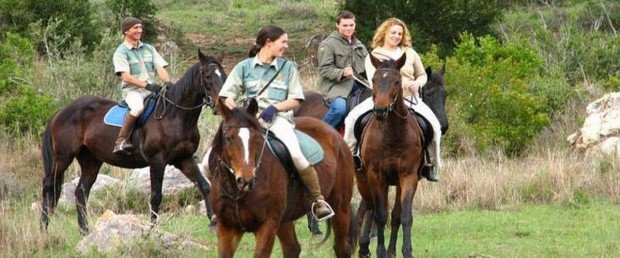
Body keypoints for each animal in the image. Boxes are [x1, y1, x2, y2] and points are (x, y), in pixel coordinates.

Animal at [40, 50, 225, 234]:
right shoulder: (157, 161)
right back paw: (44, 228)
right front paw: (151, 230)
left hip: (91, 161)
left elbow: (204, 186)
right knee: (49, 185)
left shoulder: (183, 159)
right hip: (63, 157)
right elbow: (156, 196)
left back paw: (85, 231)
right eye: (208, 76)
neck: (175, 116)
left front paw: (213, 221)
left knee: (81, 192)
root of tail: (61, 112)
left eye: (223, 75)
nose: (219, 105)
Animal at [207, 98, 354, 256]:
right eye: (228, 138)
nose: (247, 180)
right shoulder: (227, 227)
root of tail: (334, 133)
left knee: (341, 248)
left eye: (256, 137)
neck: (236, 192)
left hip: (340, 207)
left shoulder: (267, 226)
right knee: (292, 248)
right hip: (285, 218)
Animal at [354, 53, 426, 256]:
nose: (380, 110)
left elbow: (404, 216)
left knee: (393, 215)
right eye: (374, 80)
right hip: (365, 180)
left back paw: (390, 250)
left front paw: (406, 251)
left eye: (397, 81)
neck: (393, 134)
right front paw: (380, 251)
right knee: (369, 206)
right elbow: (379, 215)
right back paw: (364, 245)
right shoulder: (376, 175)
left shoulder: (408, 176)